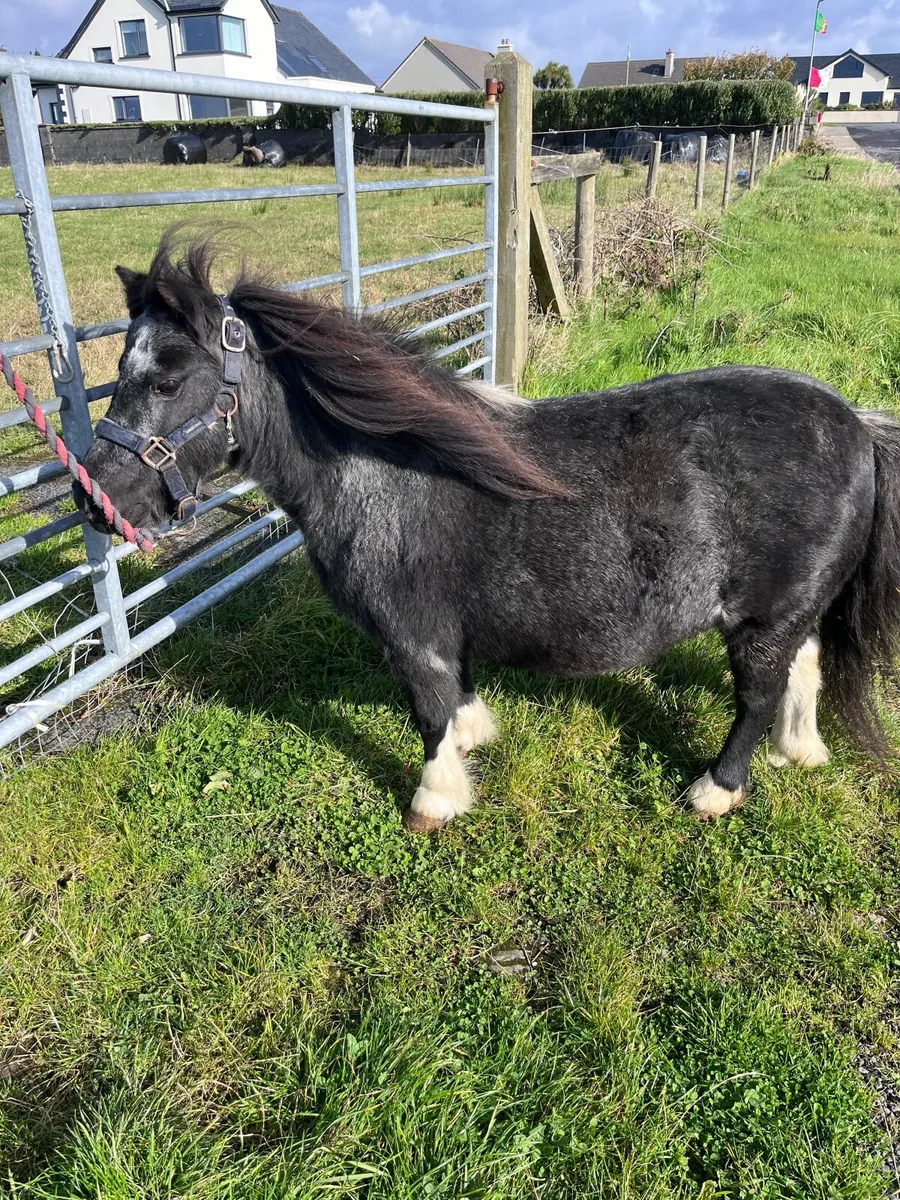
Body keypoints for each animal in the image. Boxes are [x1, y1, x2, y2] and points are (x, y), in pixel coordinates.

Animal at [79, 234, 900, 832]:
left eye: (166, 379)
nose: (97, 501)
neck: (378, 469)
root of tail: (857, 427)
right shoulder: (443, 631)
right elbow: (456, 698)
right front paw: (475, 737)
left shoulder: (410, 633)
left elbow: (428, 712)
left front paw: (434, 800)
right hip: (792, 613)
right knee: (804, 670)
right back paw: (800, 752)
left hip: (762, 619)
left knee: (757, 696)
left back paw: (716, 790)